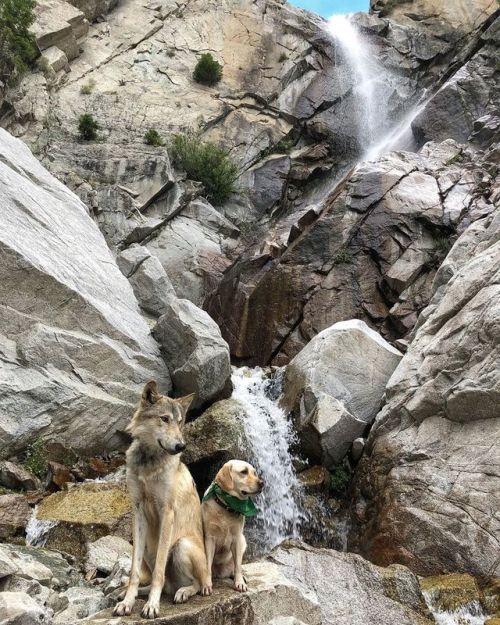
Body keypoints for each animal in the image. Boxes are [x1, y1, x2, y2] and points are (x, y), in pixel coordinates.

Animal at [114, 378, 210, 616]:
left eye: (180, 422)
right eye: (164, 419)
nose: (181, 446)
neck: (149, 462)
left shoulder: (167, 512)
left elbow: (159, 572)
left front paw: (151, 606)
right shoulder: (138, 511)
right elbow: (134, 572)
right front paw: (127, 602)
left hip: (181, 546)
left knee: (196, 584)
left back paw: (183, 592)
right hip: (149, 548)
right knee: (161, 583)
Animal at [201, 458, 264, 596]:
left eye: (254, 473)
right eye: (244, 472)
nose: (262, 483)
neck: (226, 506)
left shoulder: (236, 539)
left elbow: (238, 566)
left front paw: (239, 583)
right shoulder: (209, 539)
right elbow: (207, 565)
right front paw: (206, 585)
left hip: (243, 541)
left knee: (235, 567)